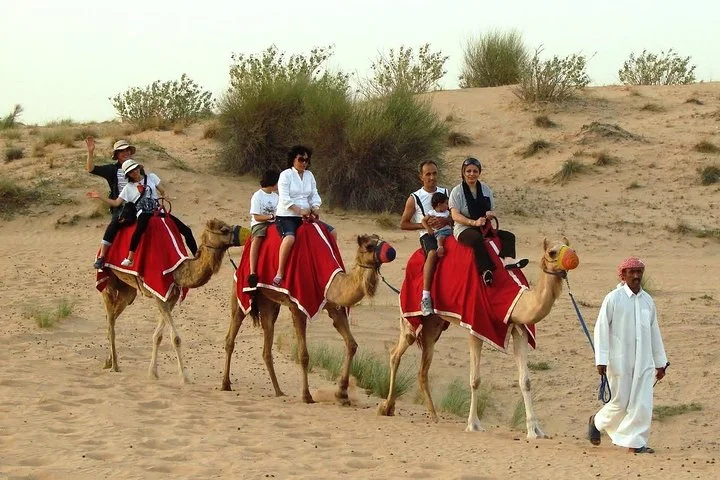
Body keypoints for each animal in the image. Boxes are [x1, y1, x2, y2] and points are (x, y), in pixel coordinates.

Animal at [99, 219, 246, 383]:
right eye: (224, 230)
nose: (245, 233)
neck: (177, 270)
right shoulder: (159, 295)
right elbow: (175, 338)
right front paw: (185, 377)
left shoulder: (172, 297)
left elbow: (158, 336)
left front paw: (153, 373)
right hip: (108, 281)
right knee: (110, 320)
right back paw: (115, 366)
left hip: (128, 291)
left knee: (113, 316)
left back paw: (108, 361)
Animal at [222, 234, 394, 404]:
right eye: (369, 246)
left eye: (380, 239)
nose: (391, 252)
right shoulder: (297, 307)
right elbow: (303, 355)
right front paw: (307, 396)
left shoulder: (334, 307)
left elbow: (352, 345)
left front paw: (342, 394)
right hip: (240, 291)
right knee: (231, 335)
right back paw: (225, 384)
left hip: (269, 302)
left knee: (266, 346)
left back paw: (279, 391)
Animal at [378, 237, 580, 439]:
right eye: (552, 252)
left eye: (570, 248)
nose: (572, 259)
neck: (511, 297)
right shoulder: (475, 326)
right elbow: (475, 379)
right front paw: (473, 424)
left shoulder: (519, 327)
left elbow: (526, 381)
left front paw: (535, 431)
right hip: (411, 316)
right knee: (396, 352)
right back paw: (386, 407)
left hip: (433, 325)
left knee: (422, 368)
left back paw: (433, 416)